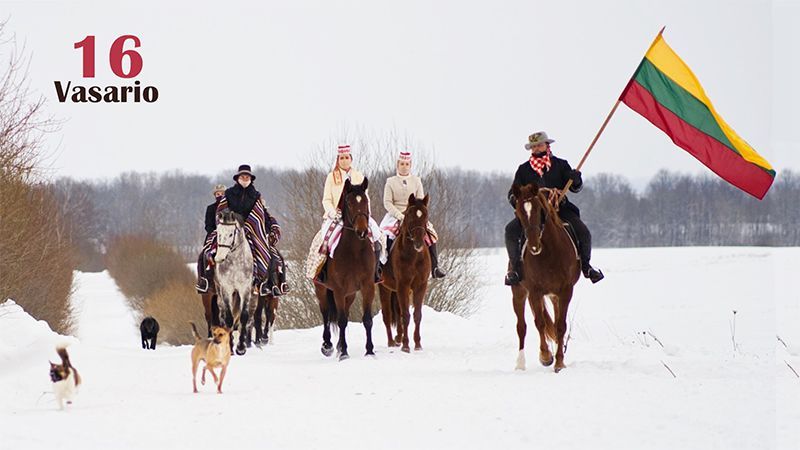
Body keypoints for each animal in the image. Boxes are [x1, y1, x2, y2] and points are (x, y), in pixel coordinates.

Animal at [312, 178, 376, 360]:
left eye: (365, 200)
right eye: (348, 202)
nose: (362, 231)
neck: (354, 251)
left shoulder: (367, 287)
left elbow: (367, 319)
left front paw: (370, 351)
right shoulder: (339, 289)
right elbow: (340, 320)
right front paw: (344, 354)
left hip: (351, 294)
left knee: (345, 313)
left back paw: (339, 345)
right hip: (322, 290)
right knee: (326, 314)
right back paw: (328, 346)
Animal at [376, 193, 432, 352]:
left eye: (425, 216)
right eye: (410, 216)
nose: (419, 244)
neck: (413, 256)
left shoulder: (420, 286)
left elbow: (417, 315)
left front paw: (417, 344)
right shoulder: (403, 285)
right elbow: (406, 315)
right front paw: (406, 346)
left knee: (398, 312)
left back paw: (398, 338)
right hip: (385, 288)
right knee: (387, 315)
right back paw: (391, 341)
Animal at [512, 183, 580, 372]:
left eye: (538, 210)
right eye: (518, 212)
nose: (533, 246)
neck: (548, 253)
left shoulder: (565, 291)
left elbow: (560, 326)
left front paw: (559, 362)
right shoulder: (535, 292)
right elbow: (540, 323)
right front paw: (545, 356)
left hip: (554, 296)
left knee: (555, 324)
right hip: (519, 292)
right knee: (521, 327)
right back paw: (520, 364)